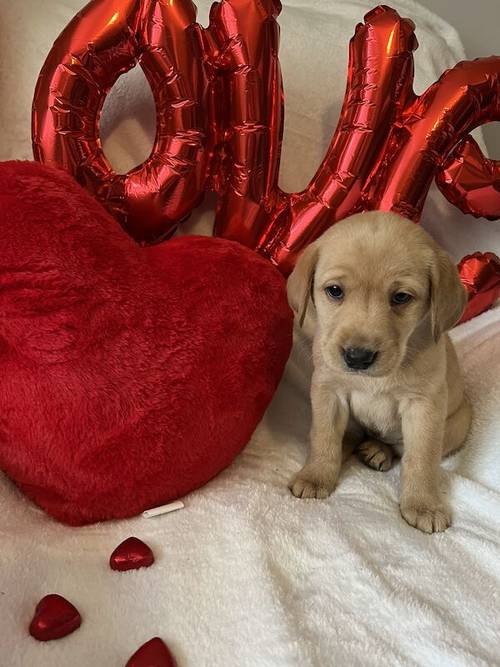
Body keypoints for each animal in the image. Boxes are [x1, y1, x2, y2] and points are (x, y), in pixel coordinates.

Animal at [288, 211, 470, 536]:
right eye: (335, 291)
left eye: (401, 297)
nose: (358, 357)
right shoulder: (328, 391)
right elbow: (323, 435)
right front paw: (316, 474)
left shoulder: (423, 406)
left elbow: (421, 458)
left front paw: (423, 504)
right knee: (349, 434)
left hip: (457, 425)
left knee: (399, 447)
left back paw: (378, 450)